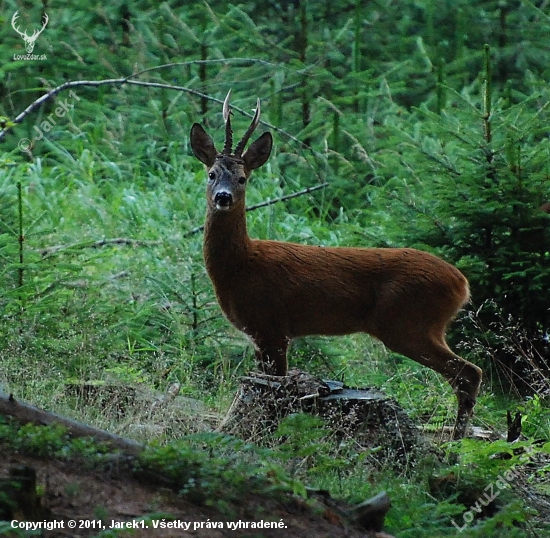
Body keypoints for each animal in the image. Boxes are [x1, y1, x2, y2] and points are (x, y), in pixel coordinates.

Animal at [193, 91, 484, 436]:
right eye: (211, 174)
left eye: (242, 178)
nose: (223, 197)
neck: (240, 266)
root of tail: (461, 283)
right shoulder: (260, 334)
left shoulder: (272, 326)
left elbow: (275, 388)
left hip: (409, 323)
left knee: (469, 372)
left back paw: (456, 440)